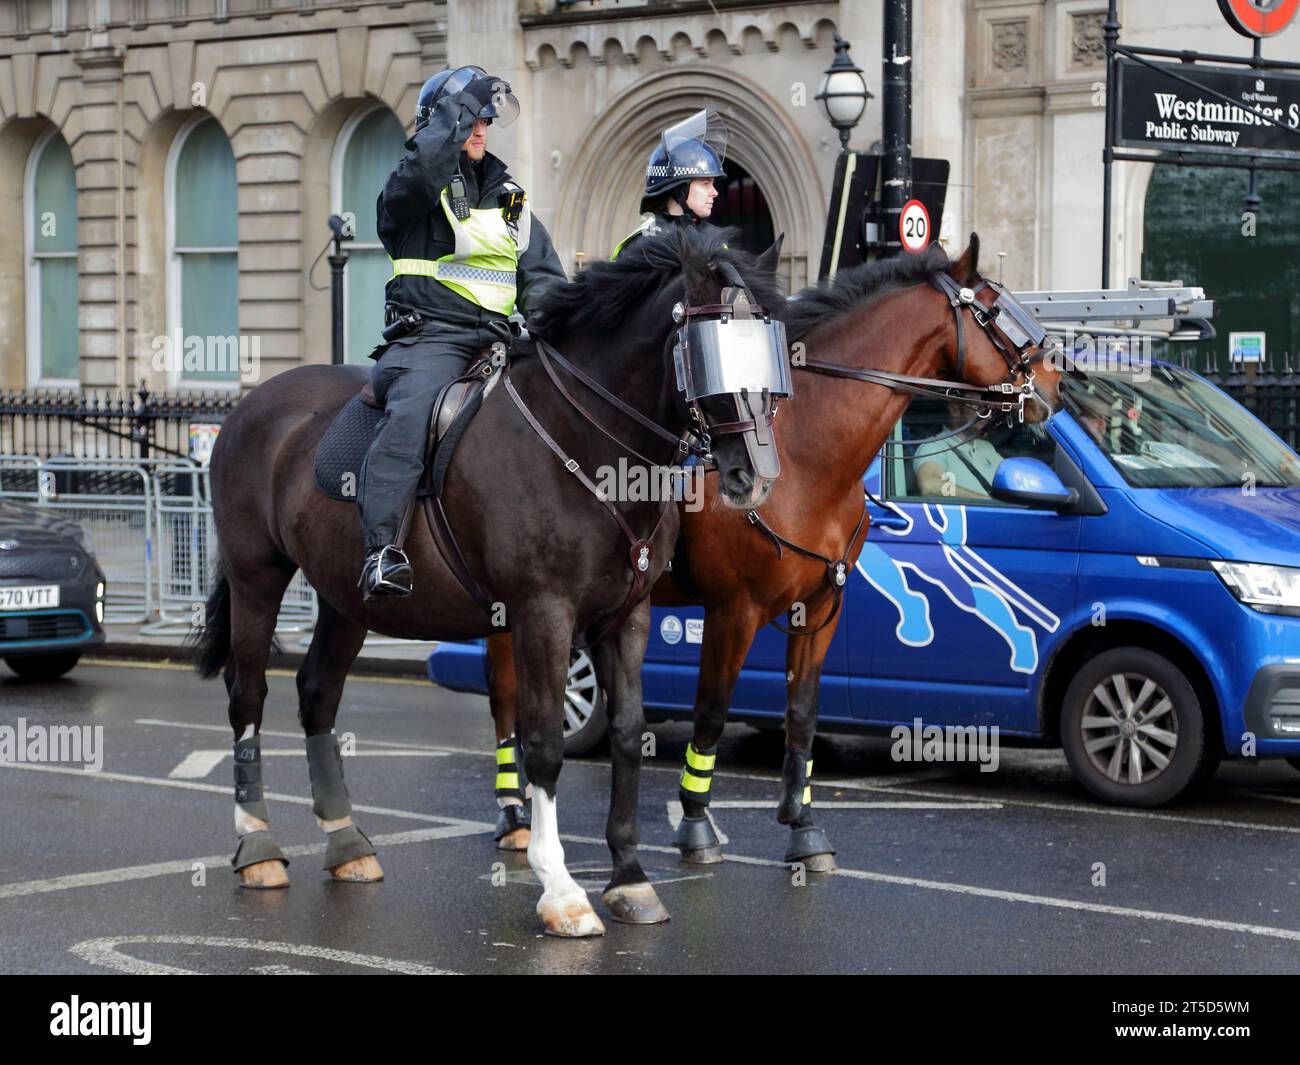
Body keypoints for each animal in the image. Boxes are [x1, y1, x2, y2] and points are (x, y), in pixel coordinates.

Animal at [188, 228, 785, 936]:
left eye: (770, 350)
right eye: (708, 349)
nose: (756, 475)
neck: (585, 441)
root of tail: (252, 403)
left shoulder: (626, 617)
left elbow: (627, 733)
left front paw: (630, 877)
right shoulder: (544, 613)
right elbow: (543, 741)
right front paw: (561, 888)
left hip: (345, 599)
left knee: (317, 695)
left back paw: (346, 841)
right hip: (257, 576)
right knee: (247, 696)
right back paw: (257, 847)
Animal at [483, 235, 1060, 868]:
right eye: (995, 312)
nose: (1056, 384)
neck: (806, 452)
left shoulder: (822, 606)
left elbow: (802, 714)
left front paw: (803, 825)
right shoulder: (734, 610)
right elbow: (712, 711)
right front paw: (695, 821)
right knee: (506, 696)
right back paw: (514, 813)